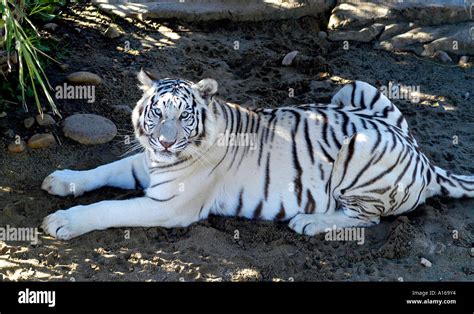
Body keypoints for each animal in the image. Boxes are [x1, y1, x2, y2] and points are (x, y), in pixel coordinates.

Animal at [41, 70, 474, 239]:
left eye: (184, 116)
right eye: (157, 113)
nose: (164, 142)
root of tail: (424, 157)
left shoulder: (169, 205)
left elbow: (109, 207)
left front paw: (62, 221)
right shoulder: (144, 164)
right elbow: (102, 169)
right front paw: (62, 179)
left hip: (361, 147)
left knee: (365, 218)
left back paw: (309, 222)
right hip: (355, 89)